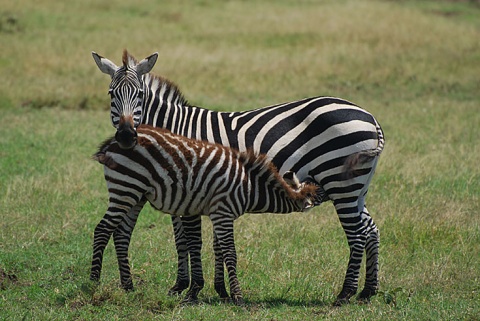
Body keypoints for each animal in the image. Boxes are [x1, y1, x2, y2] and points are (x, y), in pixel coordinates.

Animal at [93, 123, 318, 304]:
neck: (250, 186)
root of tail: (112, 143)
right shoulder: (223, 212)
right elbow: (230, 253)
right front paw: (238, 296)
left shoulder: (219, 213)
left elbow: (219, 250)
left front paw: (223, 292)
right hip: (126, 187)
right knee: (102, 229)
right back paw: (94, 281)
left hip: (136, 195)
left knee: (121, 234)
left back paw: (128, 286)